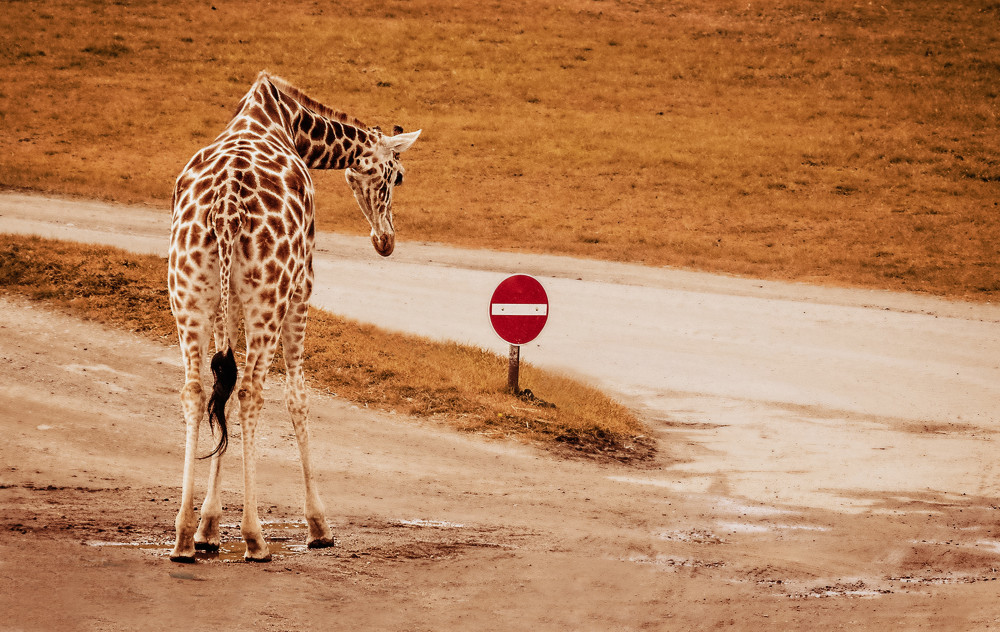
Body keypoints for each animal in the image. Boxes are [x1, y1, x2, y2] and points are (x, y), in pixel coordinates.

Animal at [167, 71, 420, 562]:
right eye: (398, 177)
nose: (385, 241)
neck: (287, 121)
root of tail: (226, 207)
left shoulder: (232, 303)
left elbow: (221, 392)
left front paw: (209, 528)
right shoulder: (303, 284)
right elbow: (298, 396)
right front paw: (319, 526)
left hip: (188, 294)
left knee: (197, 390)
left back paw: (184, 537)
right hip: (271, 295)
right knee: (250, 392)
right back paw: (256, 538)